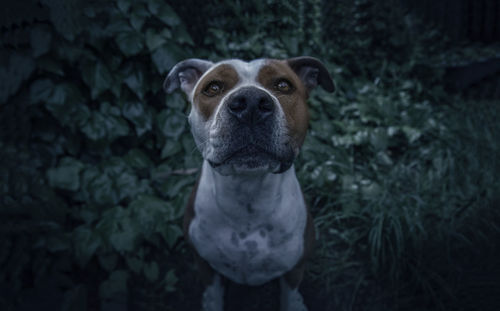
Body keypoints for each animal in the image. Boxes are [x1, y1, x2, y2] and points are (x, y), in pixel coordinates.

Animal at [165, 57, 336, 310]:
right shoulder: (205, 264)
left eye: (283, 85)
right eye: (213, 88)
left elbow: (290, 297)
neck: (248, 194)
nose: (251, 103)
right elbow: (213, 296)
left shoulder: (294, 269)